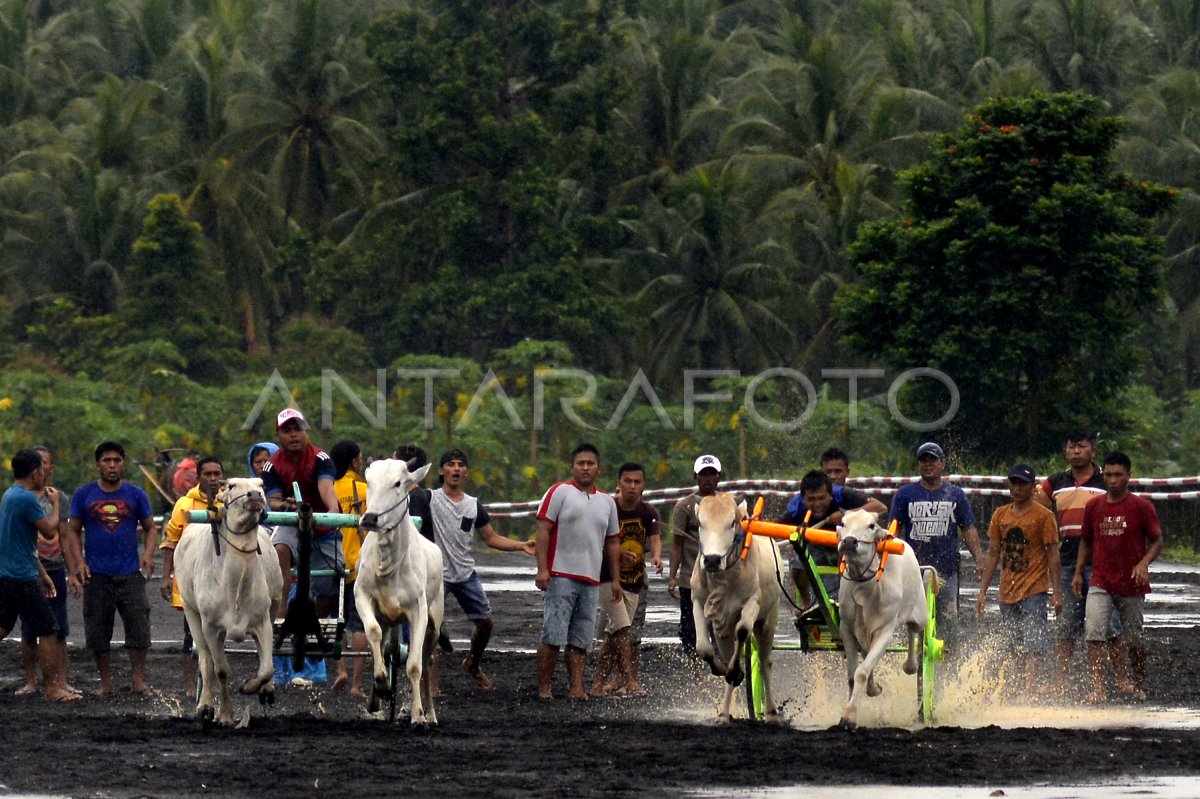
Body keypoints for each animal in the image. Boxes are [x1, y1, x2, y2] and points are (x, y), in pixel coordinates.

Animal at [174, 475, 283, 724]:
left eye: (261, 484)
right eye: (232, 485)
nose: (255, 496)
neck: (236, 585)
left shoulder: (263, 622)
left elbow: (267, 668)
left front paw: (251, 686)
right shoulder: (211, 627)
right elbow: (221, 670)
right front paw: (224, 714)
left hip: (275, 605)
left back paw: (266, 691)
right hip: (191, 612)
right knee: (205, 660)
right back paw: (205, 706)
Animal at [350, 453, 446, 719]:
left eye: (397, 483)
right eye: (369, 482)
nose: (370, 518)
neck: (390, 566)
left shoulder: (418, 612)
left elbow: (414, 665)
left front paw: (417, 715)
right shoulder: (362, 596)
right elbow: (373, 634)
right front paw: (382, 684)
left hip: (435, 623)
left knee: (428, 661)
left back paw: (430, 713)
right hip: (388, 620)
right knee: (383, 646)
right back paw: (376, 700)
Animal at [691, 491, 782, 719]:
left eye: (732, 522)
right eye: (700, 523)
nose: (712, 560)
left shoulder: (752, 603)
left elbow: (742, 631)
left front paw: (735, 671)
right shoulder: (698, 601)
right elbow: (703, 647)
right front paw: (724, 670)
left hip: (768, 619)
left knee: (765, 663)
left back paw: (771, 711)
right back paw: (723, 714)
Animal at [835, 511, 926, 729]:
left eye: (871, 525)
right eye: (843, 523)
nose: (849, 541)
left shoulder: (885, 631)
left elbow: (861, 672)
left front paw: (849, 715)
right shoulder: (846, 630)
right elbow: (853, 675)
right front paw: (851, 709)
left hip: (921, 614)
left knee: (915, 631)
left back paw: (911, 665)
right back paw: (873, 688)